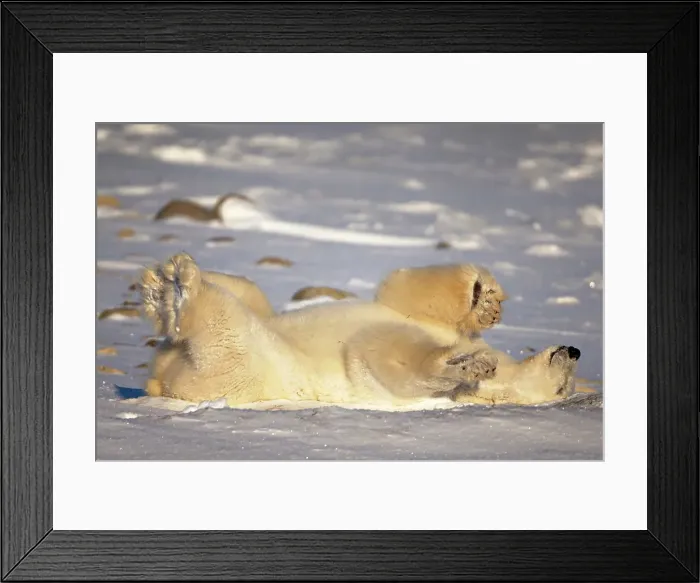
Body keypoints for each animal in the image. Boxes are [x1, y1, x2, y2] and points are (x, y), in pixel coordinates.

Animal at [138, 253, 581, 408]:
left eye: (565, 388)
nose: (574, 351)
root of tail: (160, 380)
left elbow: (387, 360)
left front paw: (467, 365)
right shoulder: (424, 317)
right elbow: (405, 293)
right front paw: (483, 297)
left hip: (247, 364)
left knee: (226, 326)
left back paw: (178, 289)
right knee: (251, 292)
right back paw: (163, 282)